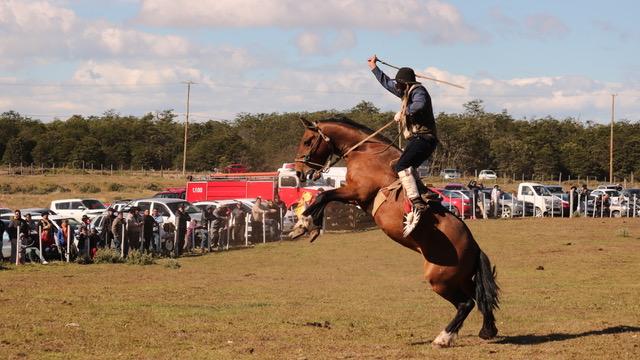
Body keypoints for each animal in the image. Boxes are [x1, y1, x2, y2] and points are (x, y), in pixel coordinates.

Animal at [294, 116, 500, 348]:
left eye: (308, 141)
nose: (299, 172)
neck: (366, 151)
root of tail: (474, 247)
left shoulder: (357, 191)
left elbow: (323, 196)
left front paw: (303, 224)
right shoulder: (353, 196)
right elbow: (324, 198)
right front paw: (306, 226)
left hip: (440, 280)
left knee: (466, 303)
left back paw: (444, 337)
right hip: (459, 279)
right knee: (481, 297)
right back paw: (488, 330)